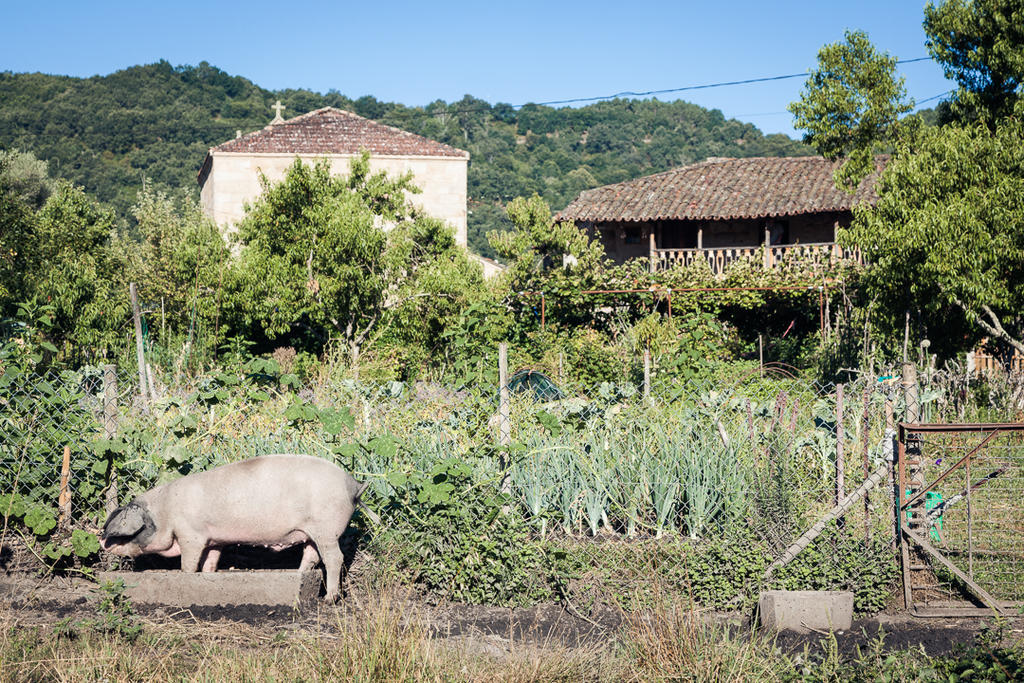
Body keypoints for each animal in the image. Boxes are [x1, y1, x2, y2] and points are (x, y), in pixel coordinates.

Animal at [98, 456, 380, 602]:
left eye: (135, 530)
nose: (102, 542)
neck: (166, 512)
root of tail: (353, 485)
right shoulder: (214, 540)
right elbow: (210, 563)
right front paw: (208, 576)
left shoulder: (191, 535)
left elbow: (189, 564)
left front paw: (187, 577)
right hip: (312, 533)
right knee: (311, 557)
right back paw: (297, 575)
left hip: (327, 530)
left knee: (334, 559)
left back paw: (329, 598)